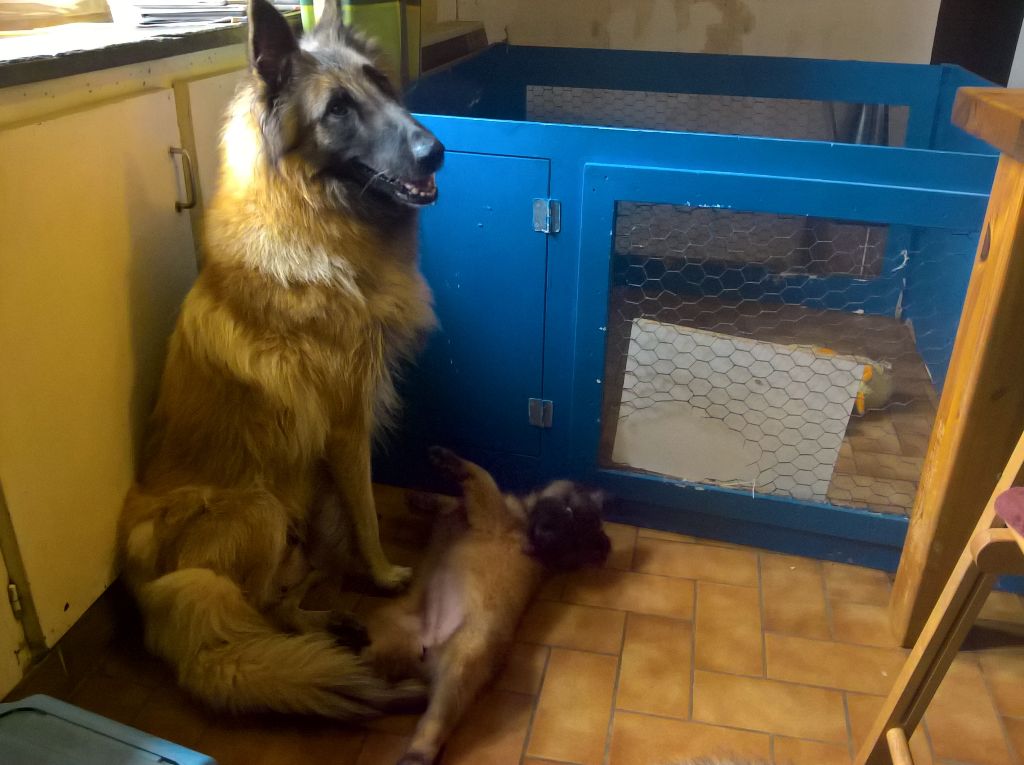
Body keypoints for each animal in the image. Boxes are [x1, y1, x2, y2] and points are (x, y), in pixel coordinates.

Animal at [117, 0, 444, 719]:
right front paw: (383, 574)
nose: (436, 150)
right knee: (257, 607)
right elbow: (368, 513)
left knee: (280, 597)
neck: (315, 217)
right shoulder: (347, 426)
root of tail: (152, 588)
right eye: (337, 110)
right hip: (261, 509)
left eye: (382, 84)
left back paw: (331, 624)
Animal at [363, 448, 612, 764]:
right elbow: (450, 502)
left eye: (573, 539)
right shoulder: (463, 513)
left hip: (462, 664)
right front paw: (421, 498)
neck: (524, 518)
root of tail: (423, 648)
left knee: (434, 724)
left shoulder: (491, 511)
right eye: (569, 515)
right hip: (383, 631)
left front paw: (449, 461)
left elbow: (480, 475)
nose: (543, 541)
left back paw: (416, 754)